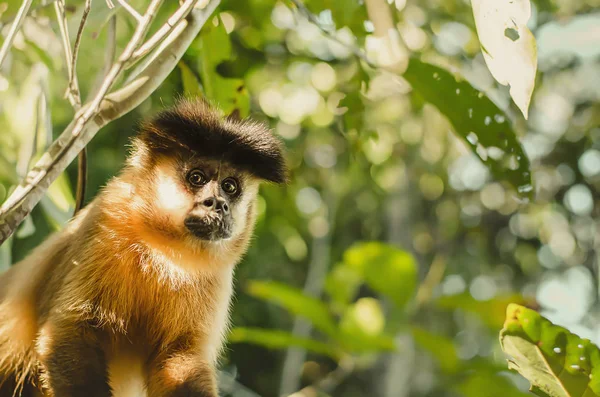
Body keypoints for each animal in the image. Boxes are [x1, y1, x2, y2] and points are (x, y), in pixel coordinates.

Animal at [0, 99, 288, 396]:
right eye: (196, 178)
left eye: (230, 186)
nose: (218, 204)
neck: (161, 249)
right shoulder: (106, 220)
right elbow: (68, 333)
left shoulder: (214, 276)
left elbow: (178, 357)